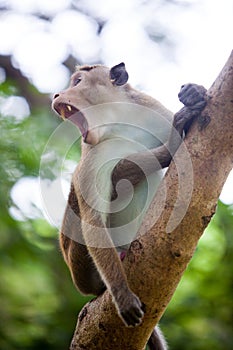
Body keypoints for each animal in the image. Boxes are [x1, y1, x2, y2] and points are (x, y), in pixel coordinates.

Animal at [52, 61, 207, 348]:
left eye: (77, 81)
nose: (57, 95)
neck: (117, 122)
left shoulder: (153, 110)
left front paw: (193, 93)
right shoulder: (92, 155)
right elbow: (94, 217)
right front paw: (122, 293)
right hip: (81, 268)